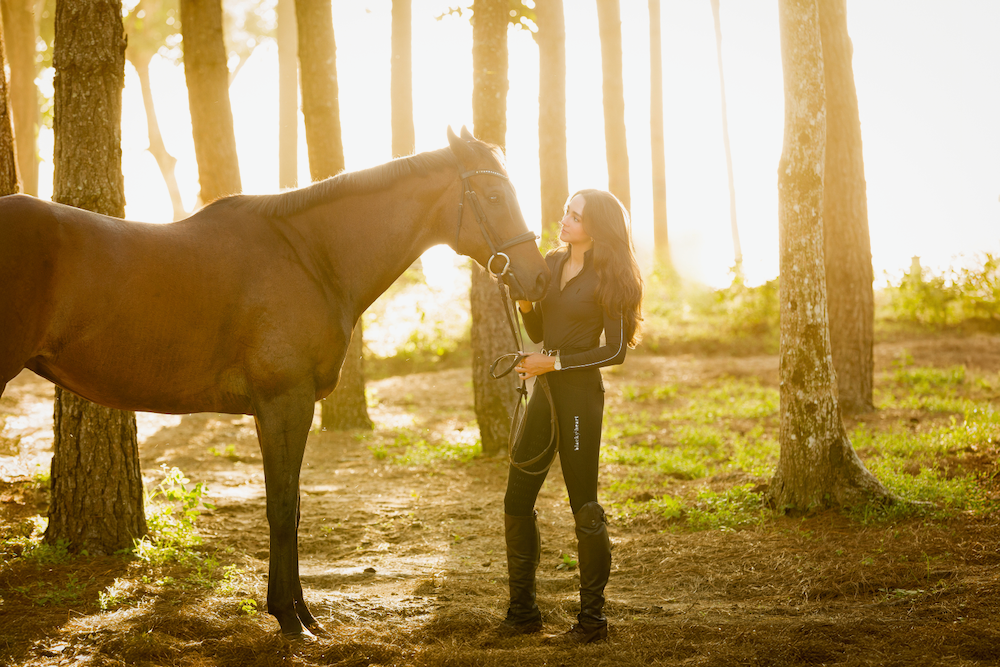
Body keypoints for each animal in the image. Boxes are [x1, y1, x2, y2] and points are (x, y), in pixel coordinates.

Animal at [0, 126, 550, 638]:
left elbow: (292, 505)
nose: (538, 279)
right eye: (494, 196)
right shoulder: (287, 402)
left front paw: (301, 612)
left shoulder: (272, 411)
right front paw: (289, 618)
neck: (312, 257)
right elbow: (284, 508)